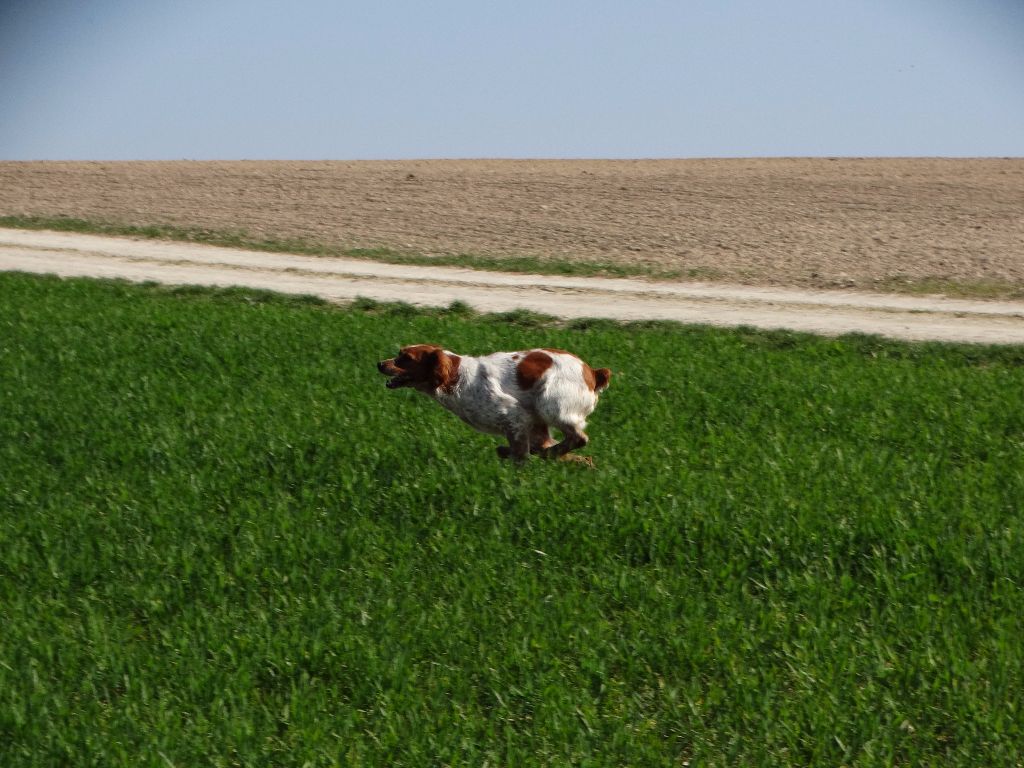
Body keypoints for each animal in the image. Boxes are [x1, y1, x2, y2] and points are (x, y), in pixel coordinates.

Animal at [378, 344, 606, 462]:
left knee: (578, 437)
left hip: (550, 404)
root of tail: (593, 373)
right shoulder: (531, 425)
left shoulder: (513, 414)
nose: (379, 364)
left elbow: (520, 453)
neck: (456, 377)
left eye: (405, 358)